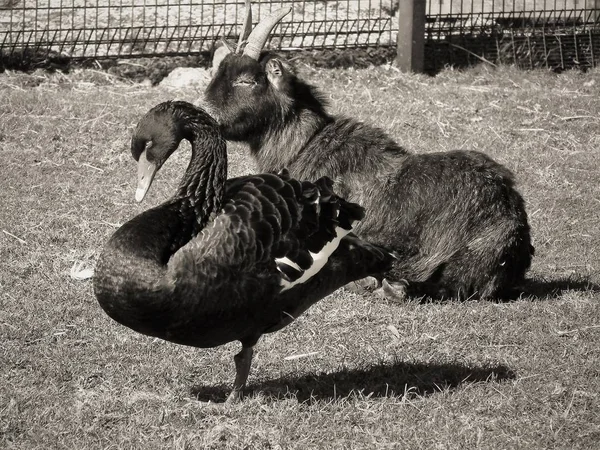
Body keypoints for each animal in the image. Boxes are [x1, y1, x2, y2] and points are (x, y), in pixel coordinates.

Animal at [203, 5, 536, 300]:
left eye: (246, 80)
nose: (205, 113)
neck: (306, 146)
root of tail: (511, 215)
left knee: (446, 285)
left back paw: (386, 285)